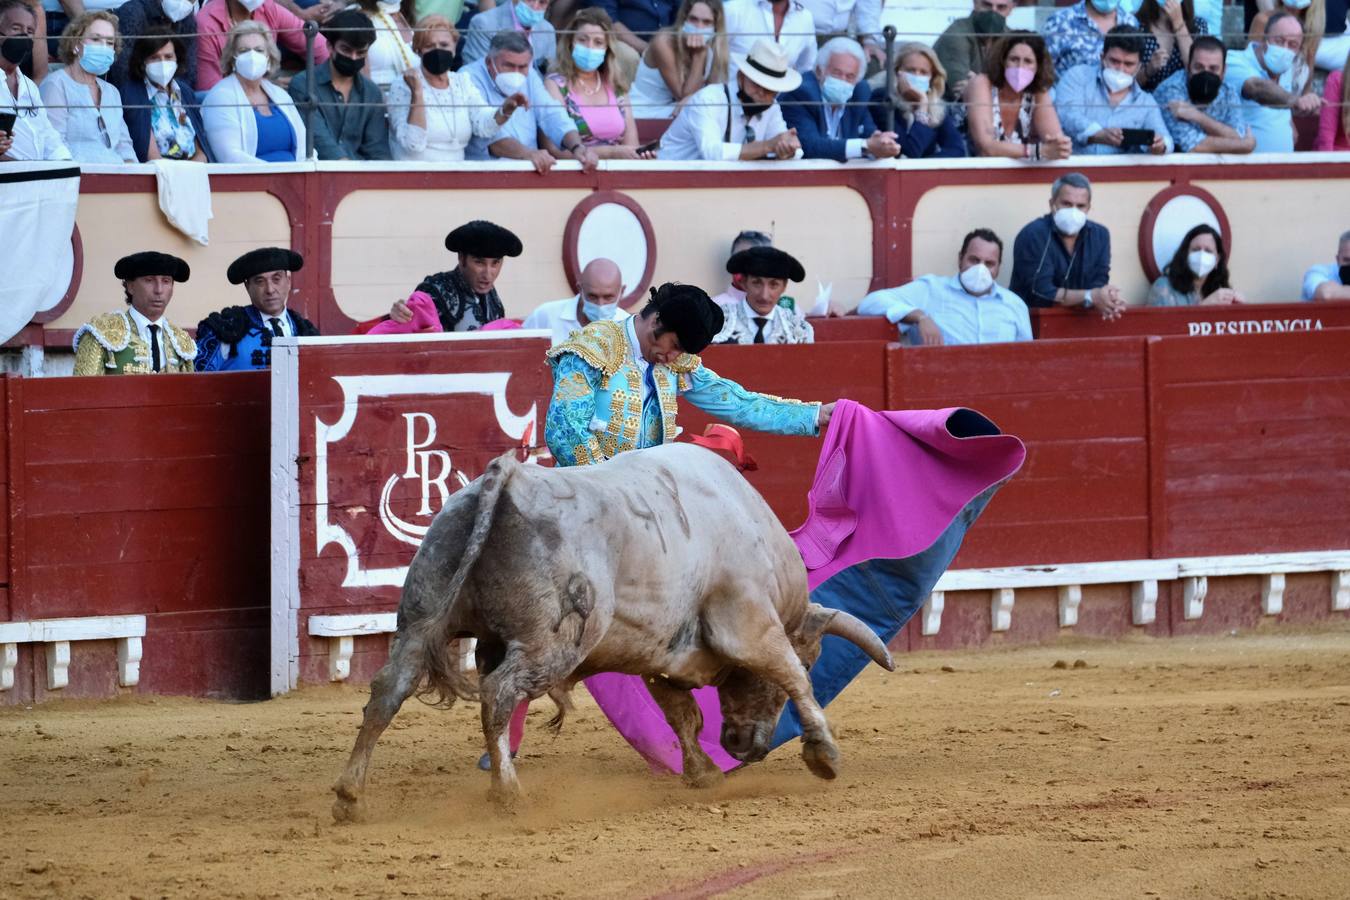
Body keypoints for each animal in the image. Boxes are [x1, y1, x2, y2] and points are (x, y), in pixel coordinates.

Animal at [330, 439, 891, 820]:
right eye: (817, 656)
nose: (743, 747)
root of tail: (509, 477)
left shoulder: (664, 655)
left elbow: (682, 715)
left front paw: (704, 773)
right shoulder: (749, 626)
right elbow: (791, 675)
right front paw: (824, 754)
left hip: (420, 619)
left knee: (390, 688)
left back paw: (350, 796)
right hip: (550, 643)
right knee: (499, 694)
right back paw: (508, 793)